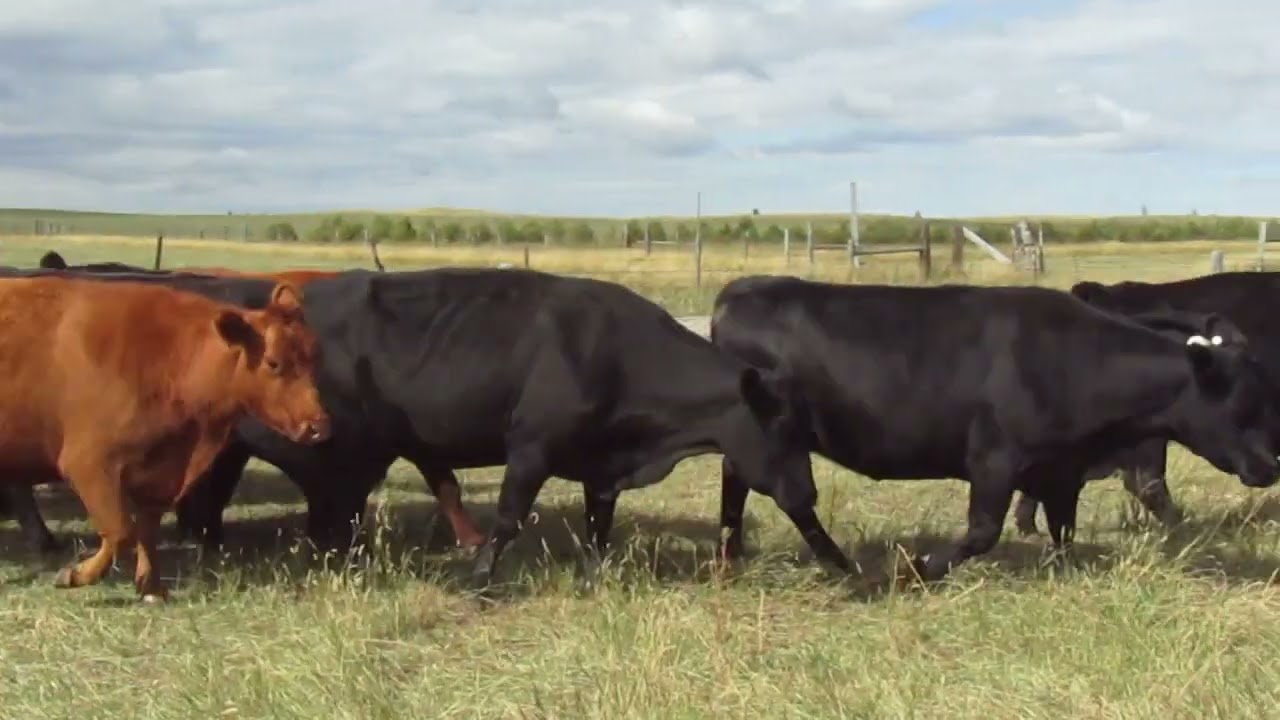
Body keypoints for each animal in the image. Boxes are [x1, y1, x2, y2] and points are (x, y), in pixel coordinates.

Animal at [0, 274, 331, 601]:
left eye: (315, 357)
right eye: (273, 363)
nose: (319, 426)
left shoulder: (161, 475)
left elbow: (147, 531)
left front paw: (151, 587)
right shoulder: (90, 464)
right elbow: (121, 531)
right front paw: (75, 575)